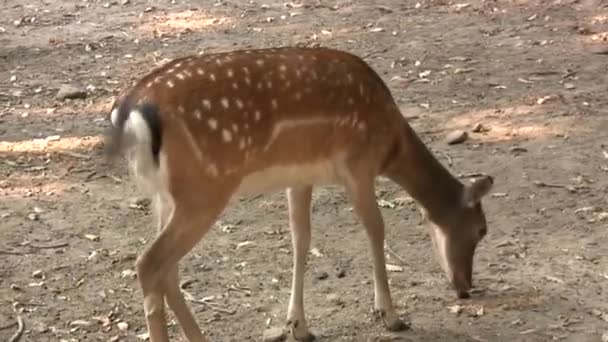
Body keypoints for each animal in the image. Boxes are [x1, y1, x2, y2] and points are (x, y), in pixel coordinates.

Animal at [104, 46, 494, 342]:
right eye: (481, 230)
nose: (465, 287)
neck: (391, 145)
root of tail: (131, 112)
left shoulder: (301, 177)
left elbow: (300, 240)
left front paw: (299, 326)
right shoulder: (357, 165)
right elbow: (376, 229)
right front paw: (390, 315)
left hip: (166, 196)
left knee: (166, 268)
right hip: (204, 190)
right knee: (150, 262)